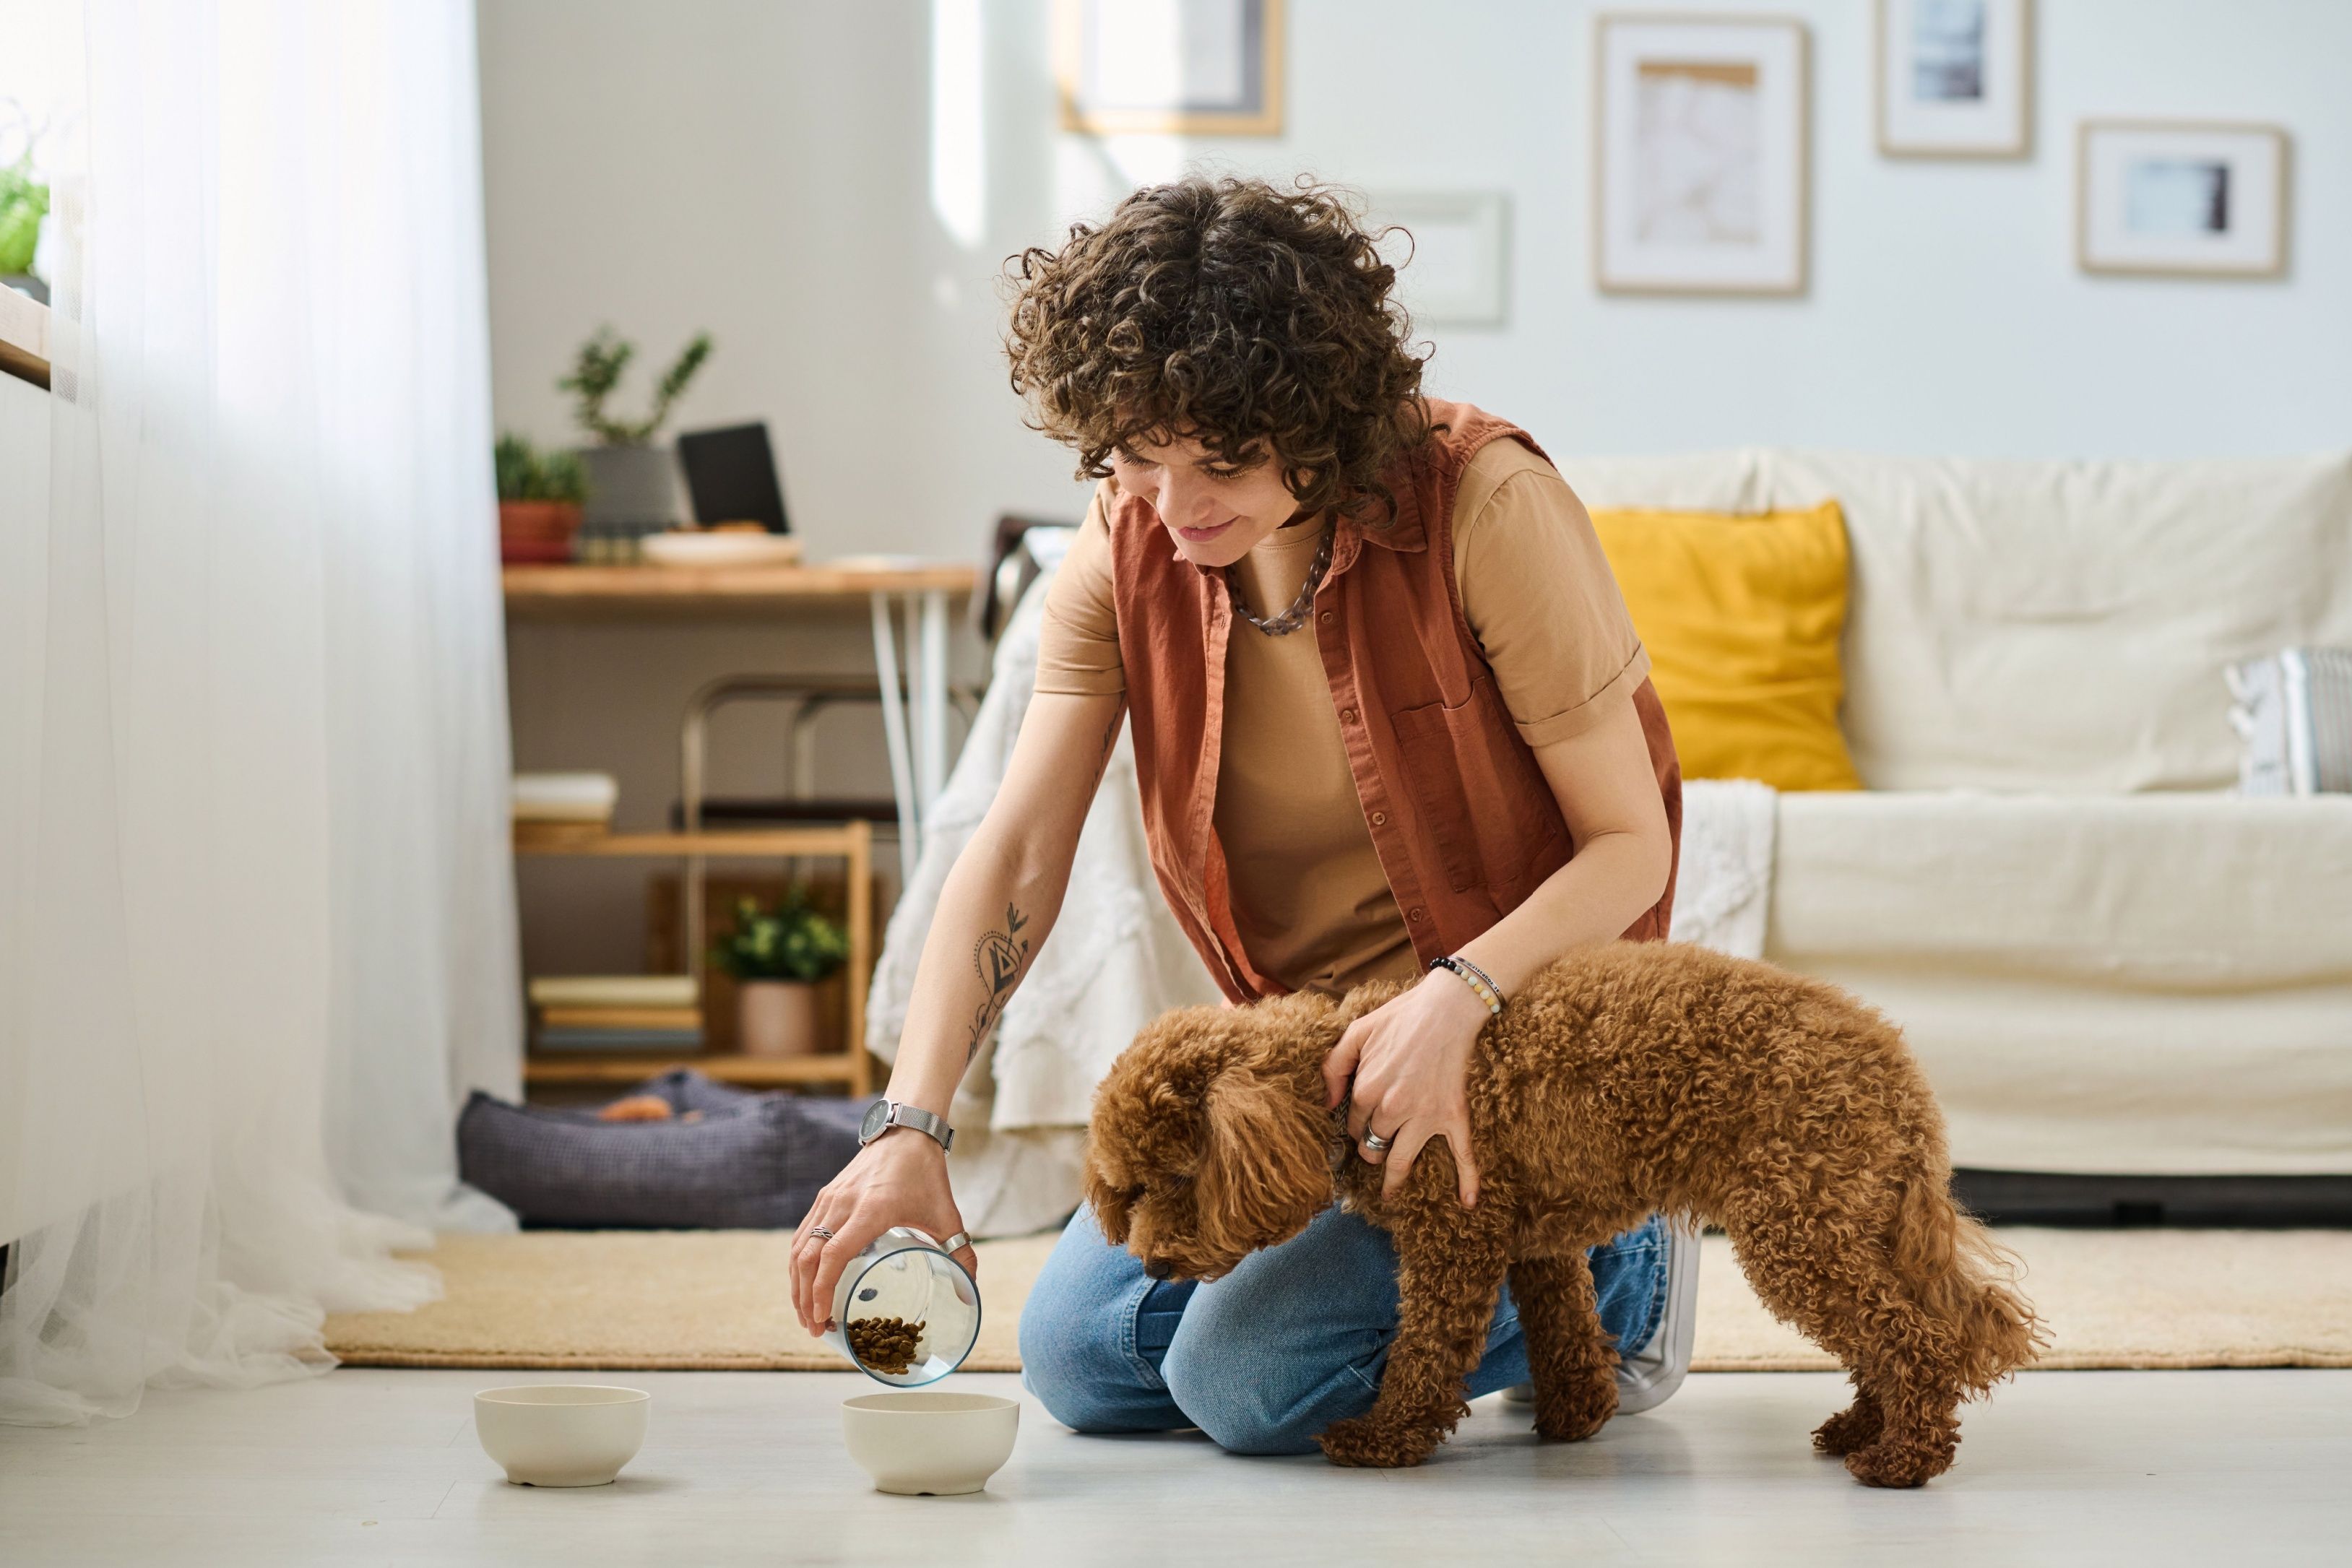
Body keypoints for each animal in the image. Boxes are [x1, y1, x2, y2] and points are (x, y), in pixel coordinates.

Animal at [1081, 940, 2041, 1495]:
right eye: (1125, 1188)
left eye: (1178, 1174)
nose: (1154, 1264)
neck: (1344, 1072)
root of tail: (1899, 1074)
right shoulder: (1533, 1239)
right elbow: (1566, 1327)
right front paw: (1576, 1415)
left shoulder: (1456, 1232)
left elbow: (1426, 1349)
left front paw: (1385, 1436)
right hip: (1845, 1218)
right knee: (1900, 1329)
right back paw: (1861, 1428)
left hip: (1797, 1225)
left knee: (1913, 1339)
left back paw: (1902, 1457)